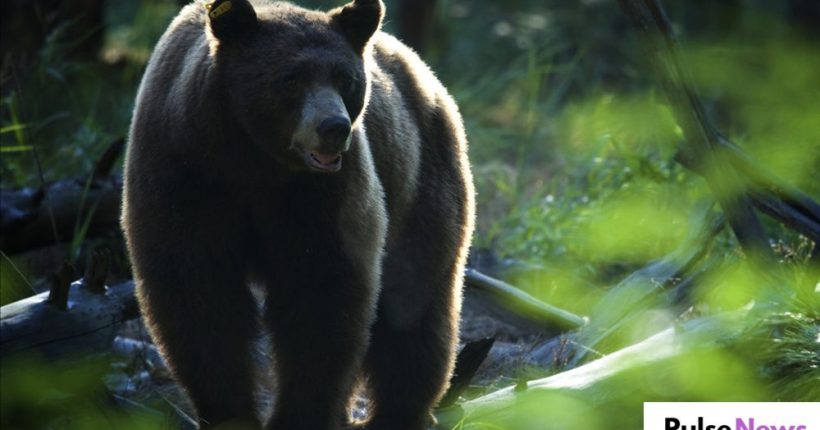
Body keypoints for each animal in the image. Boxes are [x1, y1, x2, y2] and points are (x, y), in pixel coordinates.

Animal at [120, 0, 475, 429]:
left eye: (345, 79)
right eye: (290, 79)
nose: (334, 127)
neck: (251, 157)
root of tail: (430, 80)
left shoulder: (319, 195)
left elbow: (319, 292)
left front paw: (299, 413)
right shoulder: (185, 173)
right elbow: (197, 292)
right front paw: (228, 411)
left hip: (418, 180)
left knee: (414, 302)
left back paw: (400, 412)